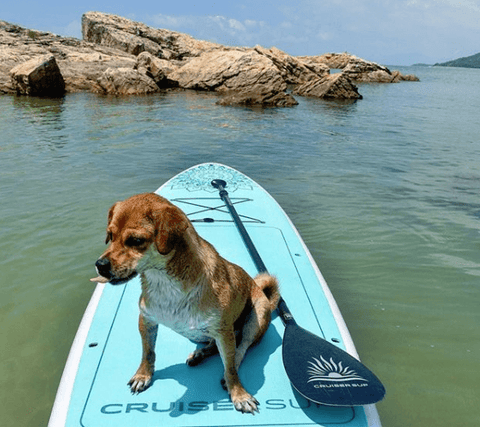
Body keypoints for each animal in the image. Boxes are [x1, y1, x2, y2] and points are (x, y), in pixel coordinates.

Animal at [91, 194, 280, 414]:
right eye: (110, 235)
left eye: (136, 241)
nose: (100, 265)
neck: (164, 282)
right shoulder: (146, 320)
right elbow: (148, 352)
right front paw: (143, 376)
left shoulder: (223, 331)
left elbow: (231, 368)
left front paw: (240, 395)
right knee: (214, 345)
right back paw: (200, 353)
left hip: (257, 315)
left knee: (242, 347)